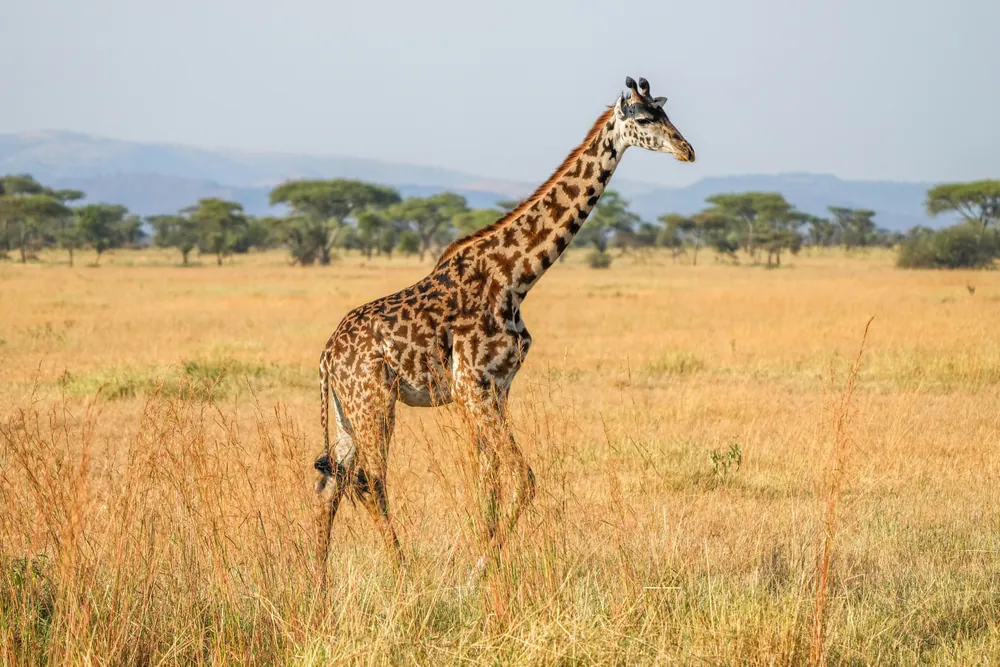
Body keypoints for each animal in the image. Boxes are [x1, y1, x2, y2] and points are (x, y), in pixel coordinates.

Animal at [313, 76, 695, 586]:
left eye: (665, 113)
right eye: (645, 118)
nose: (687, 150)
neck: (516, 276)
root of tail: (327, 354)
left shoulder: (496, 388)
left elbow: (487, 484)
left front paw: (485, 566)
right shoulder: (472, 386)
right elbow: (523, 480)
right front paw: (479, 569)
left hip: (344, 411)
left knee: (329, 485)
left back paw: (317, 583)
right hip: (374, 401)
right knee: (370, 483)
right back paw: (404, 576)